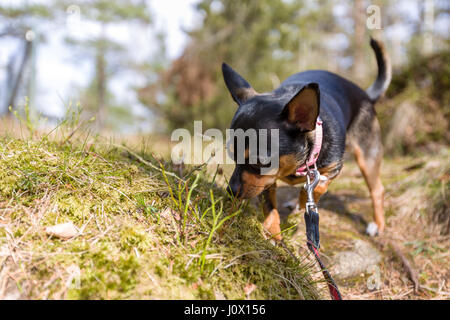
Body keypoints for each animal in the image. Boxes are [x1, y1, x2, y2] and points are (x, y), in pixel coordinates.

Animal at [224, 38, 390, 240]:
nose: (231, 190)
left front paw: (303, 204)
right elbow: (269, 205)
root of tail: (366, 95)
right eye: (231, 155)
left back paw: (378, 224)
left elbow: (315, 188)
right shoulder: (267, 181)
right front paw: (272, 233)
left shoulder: (333, 169)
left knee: (377, 190)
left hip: (368, 156)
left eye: (260, 162)